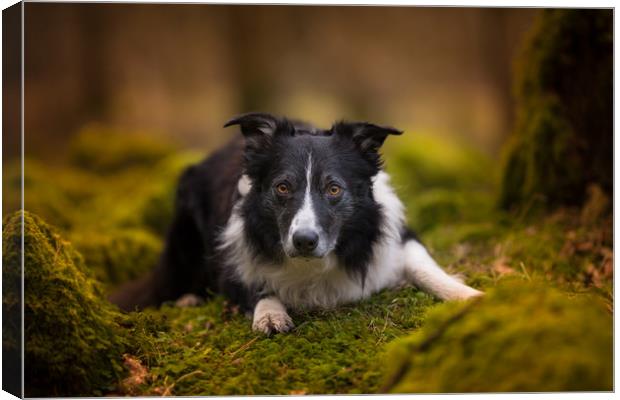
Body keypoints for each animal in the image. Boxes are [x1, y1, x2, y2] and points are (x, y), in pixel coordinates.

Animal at [110, 112, 480, 334]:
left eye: (333, 188)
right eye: (283, 187)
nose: (304, 240)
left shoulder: (398, 238)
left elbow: (426, 269)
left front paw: (469, 295)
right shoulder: (232, 255)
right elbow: (256, 285)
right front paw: (270, 313)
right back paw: (188, 298)